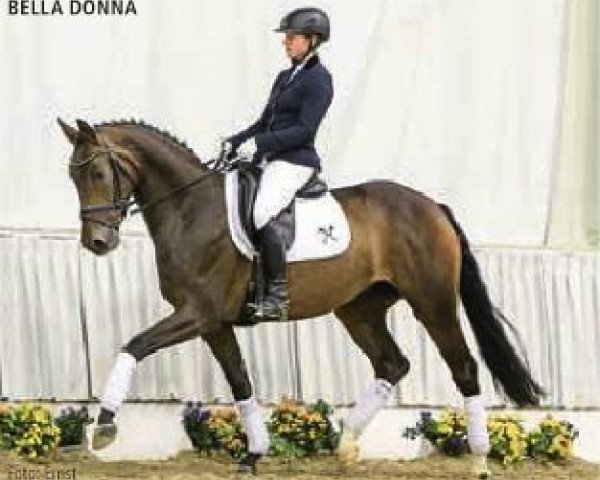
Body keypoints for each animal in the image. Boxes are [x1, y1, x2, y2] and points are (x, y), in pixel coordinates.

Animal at [57, 119, 544, 476]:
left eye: (97, 173)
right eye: (72, 176)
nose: (97, 243)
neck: (190, 209)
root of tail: (431, 205)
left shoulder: (197, 313)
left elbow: (134, 345)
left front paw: (104, 426)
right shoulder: (214, 323)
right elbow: (240, 382)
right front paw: (253, 454)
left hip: (432, 301)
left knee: (464, 367)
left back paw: (479, 459)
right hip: (359, 310)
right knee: (392, 363)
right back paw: (346, 444)